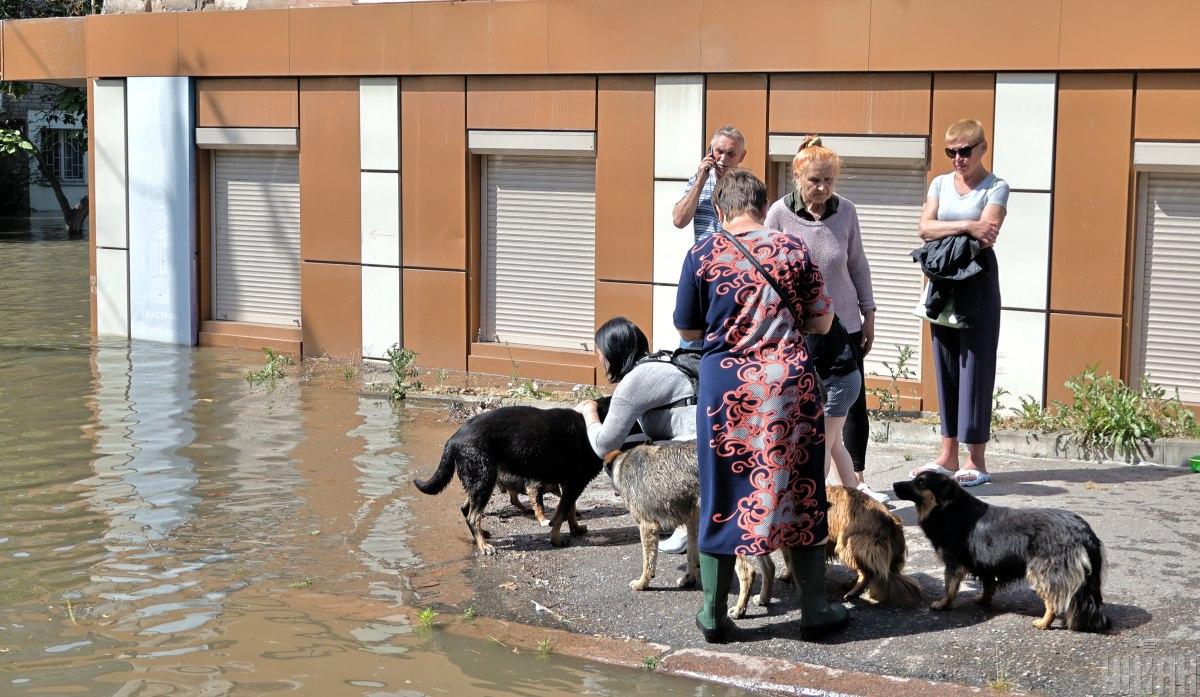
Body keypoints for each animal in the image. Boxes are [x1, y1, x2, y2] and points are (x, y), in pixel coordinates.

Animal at [415, 403, 604, 554]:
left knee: (466, 509)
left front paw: (575, 528)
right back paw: (483, 545)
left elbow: (570, 508)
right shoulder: (573, 483)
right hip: (484, 481)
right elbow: (560, 513)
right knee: (473, 516)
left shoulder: (569, 484)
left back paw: (482, 534)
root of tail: (453, 439)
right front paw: (556, 539)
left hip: (479, 482)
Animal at [897, 472, 1108, 628]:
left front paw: (942, 604)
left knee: (1052, 602)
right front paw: (983, 600)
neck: (949, 508)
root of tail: (1083, 531)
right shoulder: (987, 563)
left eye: (920, 482)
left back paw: (1043, 623)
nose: (894, 484)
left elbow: (949, 587)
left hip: (1041, 572)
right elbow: (988, 585)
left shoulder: (954, 563)